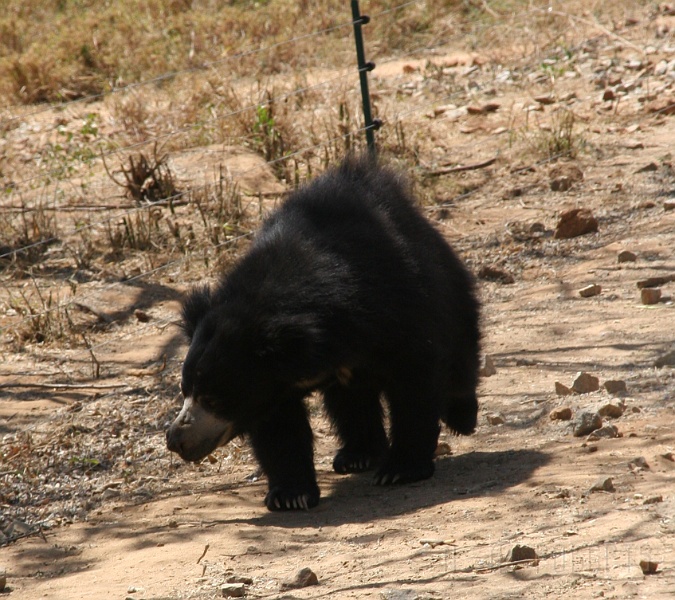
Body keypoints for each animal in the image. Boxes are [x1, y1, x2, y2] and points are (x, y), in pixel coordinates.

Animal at [166, 155, 481, 511]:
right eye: (185, 390)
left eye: (213, 399)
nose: (175, 439)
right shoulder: (272, 383)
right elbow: (280, 428)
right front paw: (290, 495)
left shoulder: (396, 306)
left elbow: (413, 379)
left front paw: (400, 469)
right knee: (351, 401)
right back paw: (357, 455)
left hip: (445, 282)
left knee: (459, 350)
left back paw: (462, 417)